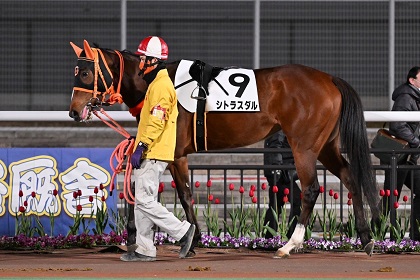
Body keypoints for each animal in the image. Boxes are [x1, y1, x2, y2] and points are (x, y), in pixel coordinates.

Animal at [68, 40, 380, 258]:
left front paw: (188, 240)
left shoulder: (174, 153)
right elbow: (182, 195)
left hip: (304, 146)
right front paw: (192, 239)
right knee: (350, 177)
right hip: (325, 145)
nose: (73, 111)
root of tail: (329, 79)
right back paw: (365, 239)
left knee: (311, 189)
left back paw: (290, 244)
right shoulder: (177, 155)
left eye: (85, 73)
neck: (155, 78)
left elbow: (180, 195)